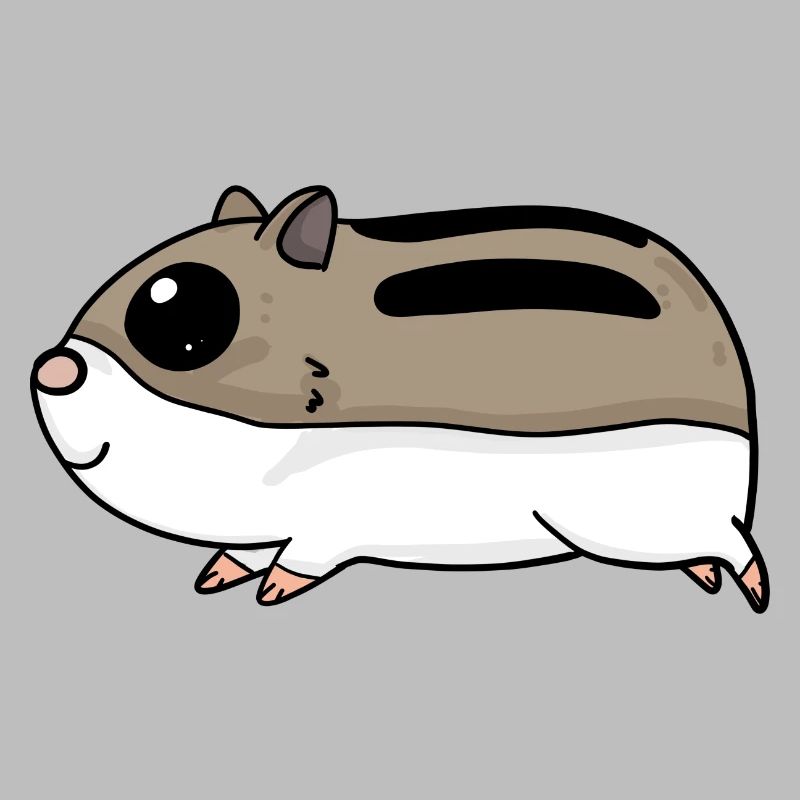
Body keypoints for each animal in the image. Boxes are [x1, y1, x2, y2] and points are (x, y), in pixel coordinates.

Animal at [30, 185, 768, 612]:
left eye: (184, 320)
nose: (52, 369)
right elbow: (248, 550)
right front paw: (218, 574)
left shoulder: (337, 514)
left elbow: (305, 555)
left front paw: (272, 589)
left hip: (625, 516)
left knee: (733, 546)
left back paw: (749, 587)